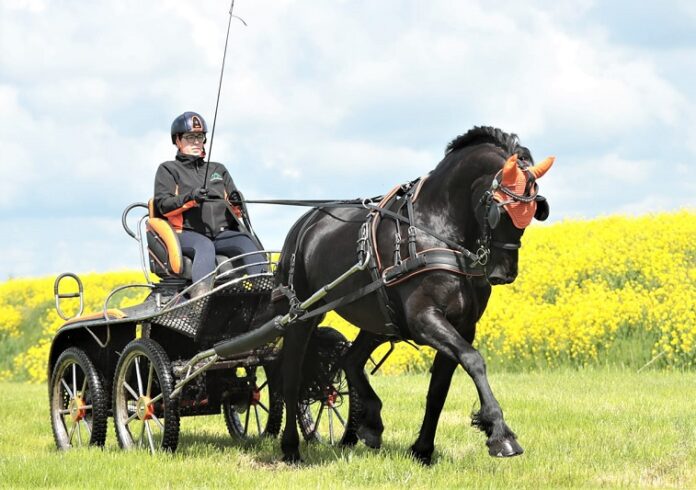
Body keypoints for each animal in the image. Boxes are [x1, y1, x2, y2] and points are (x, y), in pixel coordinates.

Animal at [274, 125, 552, 464]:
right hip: (302, 314)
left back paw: (369, 424)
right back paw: (291, 447)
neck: (435, 229)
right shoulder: (424, 319)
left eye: (535, 209)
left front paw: (423, 449)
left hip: (378, 320)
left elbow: (439, 390)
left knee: (350, 360)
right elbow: (474, 360)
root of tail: (306, 221)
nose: (504, 273)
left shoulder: (462, 326)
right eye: (499, 210)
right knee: (291, 376)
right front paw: (500, 433)